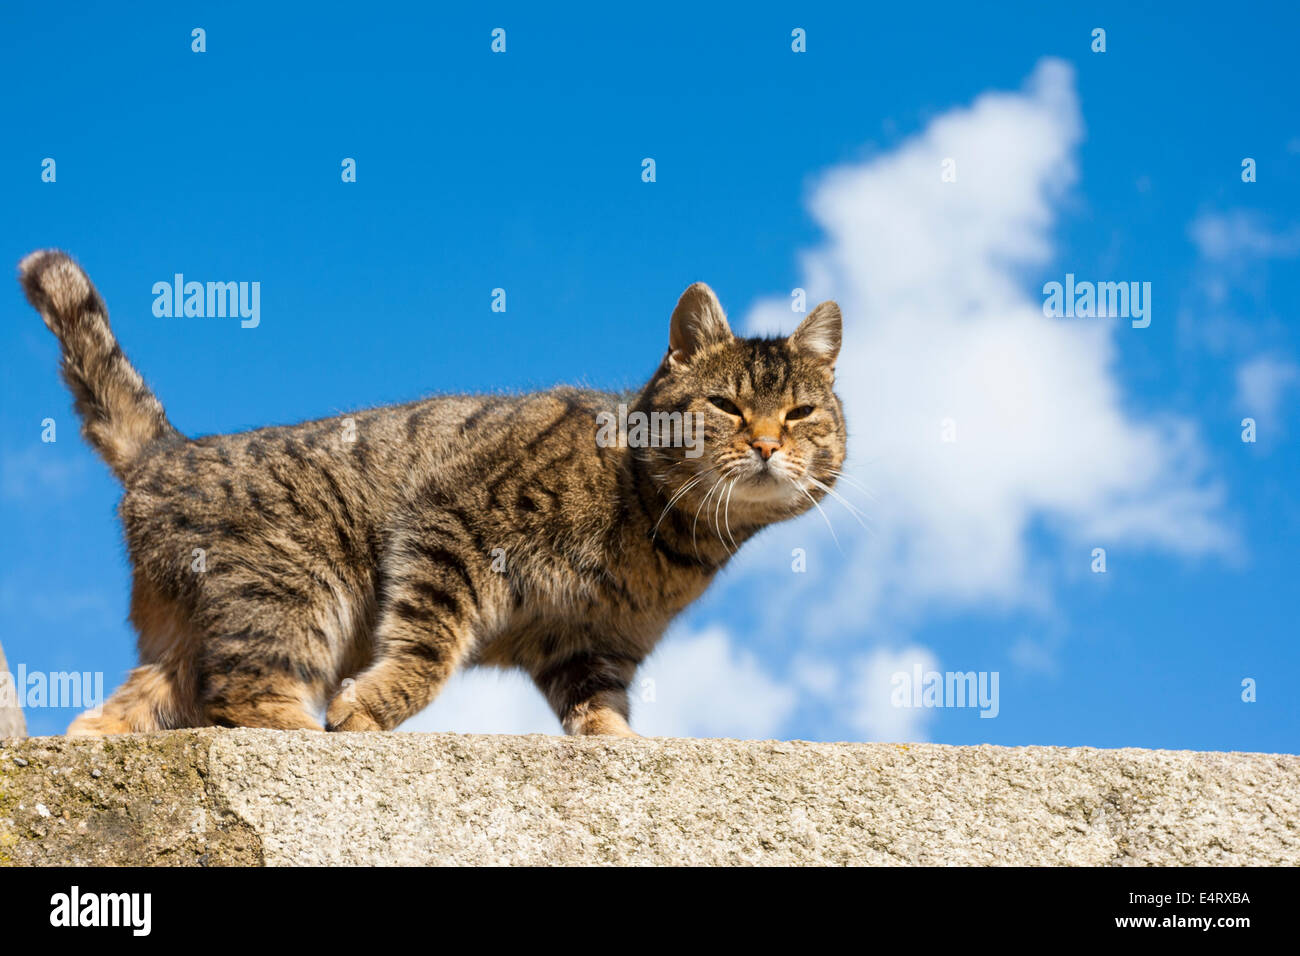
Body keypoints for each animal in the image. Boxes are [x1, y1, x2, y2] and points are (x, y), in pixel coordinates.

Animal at [25, 251, 847, 738]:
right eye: (728, 406)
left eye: (800, 412)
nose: (768, 443)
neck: (668, 535)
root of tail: (169, 448)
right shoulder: (451, 525)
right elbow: (425, 647)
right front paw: (369, 706)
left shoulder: (590, 642)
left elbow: (603, 709)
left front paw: (621, 744)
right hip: (292, 587)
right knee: (246, 694)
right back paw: (304, 733)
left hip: (182, 637)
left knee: (121, 709)